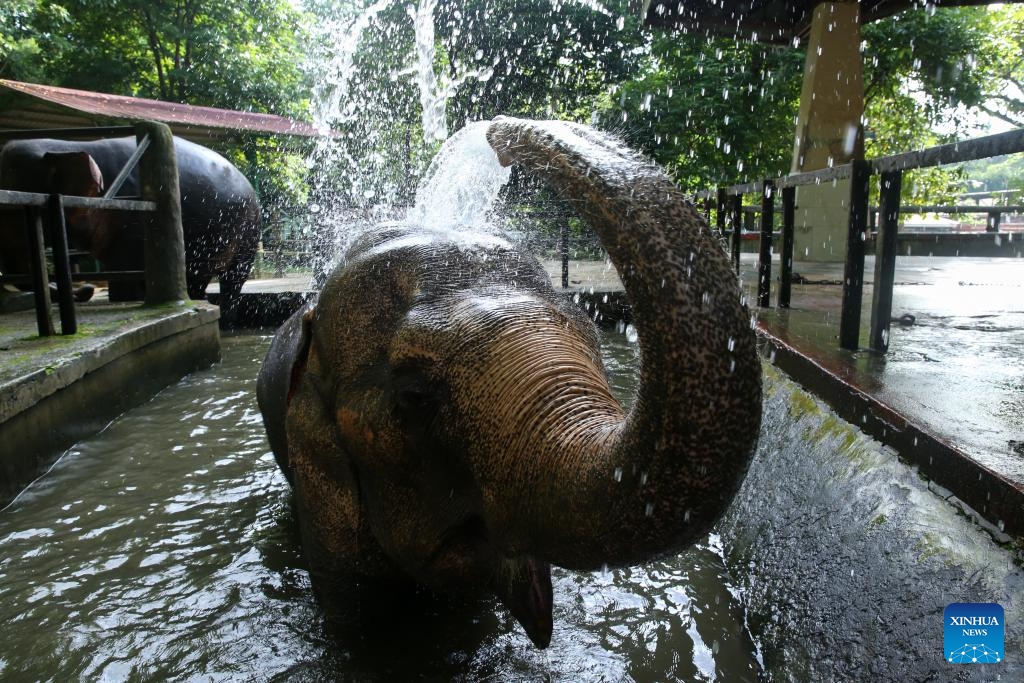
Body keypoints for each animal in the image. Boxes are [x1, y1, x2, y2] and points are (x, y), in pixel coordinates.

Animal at [0, 136, 260, 301]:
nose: (86, 289)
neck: (65, 146)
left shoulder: (131, 221)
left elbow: (125, 272)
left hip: (248, 233)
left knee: (231, 279)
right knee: (199, 279)